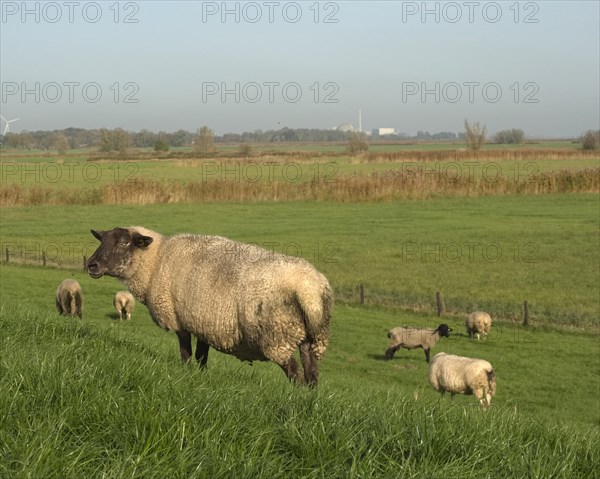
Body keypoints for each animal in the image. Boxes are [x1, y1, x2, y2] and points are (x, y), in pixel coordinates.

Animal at [87, 227, 336, 388]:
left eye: (124, 243)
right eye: (102, 240)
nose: (91, 265)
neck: (156, 261)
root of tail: (309, 289)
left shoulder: (180, 320)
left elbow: (186, 354)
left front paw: (186, 374)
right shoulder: (202, 323)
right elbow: (201, 356)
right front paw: (201, 376)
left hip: (276, 336)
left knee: (295, 374)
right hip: (311, 337)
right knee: (312, 374)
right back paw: (310, 399)